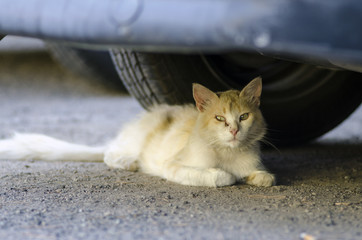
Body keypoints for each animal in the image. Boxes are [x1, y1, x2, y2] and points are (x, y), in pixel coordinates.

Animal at [0, 77, 274, 188]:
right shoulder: (173, 166)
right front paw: (228, 176)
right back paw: (130, 162)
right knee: (109, 153)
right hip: (134, 141)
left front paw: (256, 177)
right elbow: (217, 176)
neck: (228, 153)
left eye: (243, 117)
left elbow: (266, 176)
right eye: (219, 118)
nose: (234, 130)